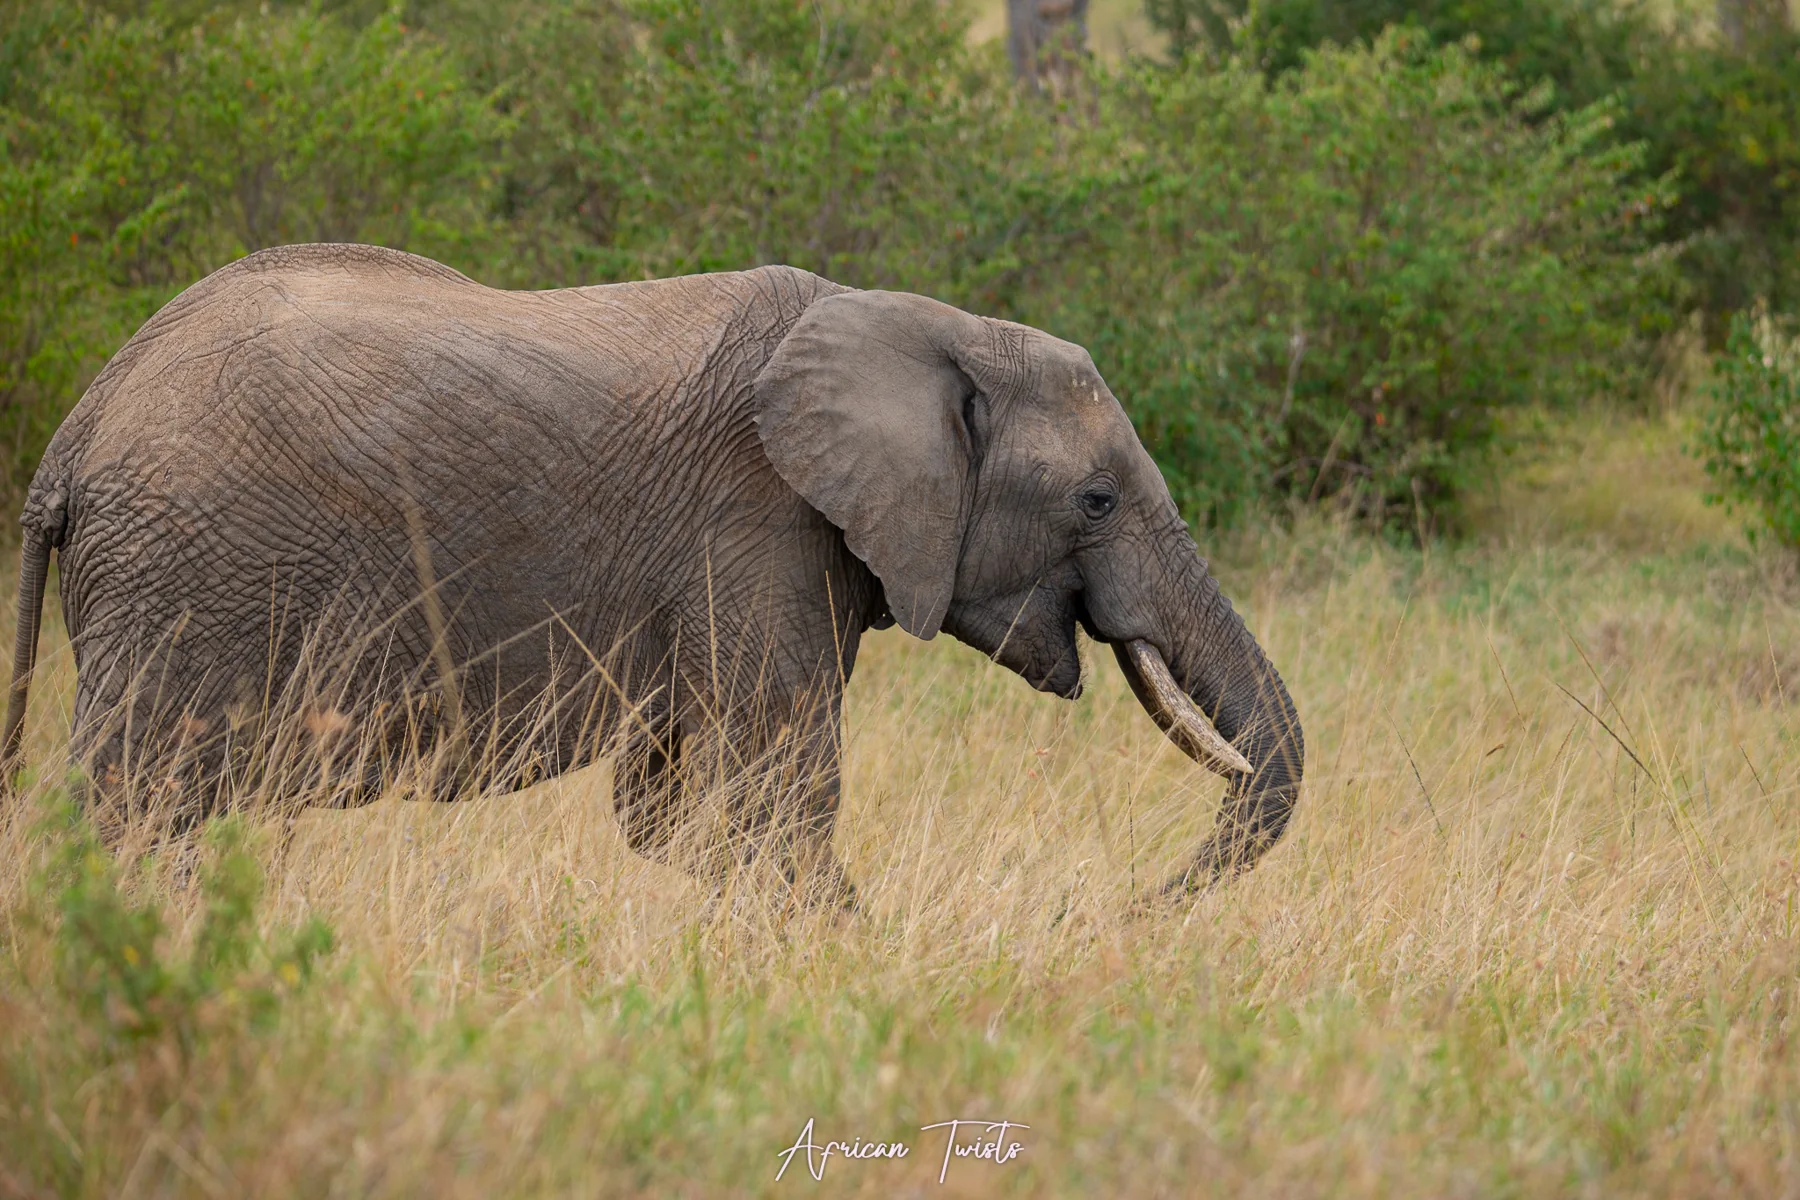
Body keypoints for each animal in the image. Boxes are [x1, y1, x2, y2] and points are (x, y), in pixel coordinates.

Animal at [1, 243, 1302, 901]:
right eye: (1097, 500)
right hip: (185, 580)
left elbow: (671, 808)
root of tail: (73, 436)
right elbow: (780, 786)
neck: (925, 327)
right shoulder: (757, 519)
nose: (1131, 903)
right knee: (135, 801)